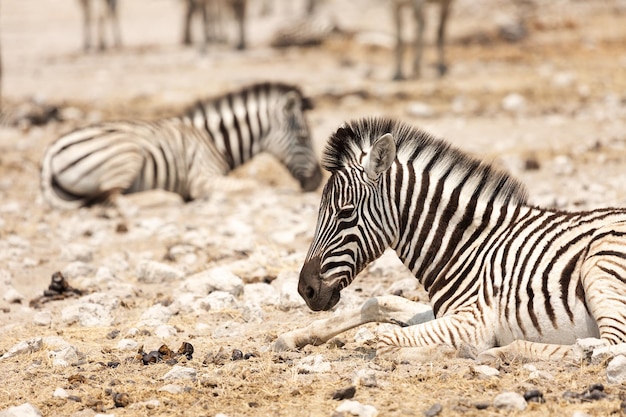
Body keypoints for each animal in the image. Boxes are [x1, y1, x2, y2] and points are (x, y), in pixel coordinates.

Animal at [41, 82, 322, 210]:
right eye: (303, 138)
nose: (317, 181)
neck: (215, 141)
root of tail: (52, 148)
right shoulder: (202, 179)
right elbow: (254, 185)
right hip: (127, 154)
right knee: (114, 198)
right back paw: (169, 197)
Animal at [278, 115, 624, 362]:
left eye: (346, 213)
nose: (305, 290)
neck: (467, 248)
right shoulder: (445, 311)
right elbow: (379, 302)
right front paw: (295, 336)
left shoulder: (473, 319)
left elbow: (385, 340)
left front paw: (448, 350)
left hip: (600, 266)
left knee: (605, 347)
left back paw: (498, 352)